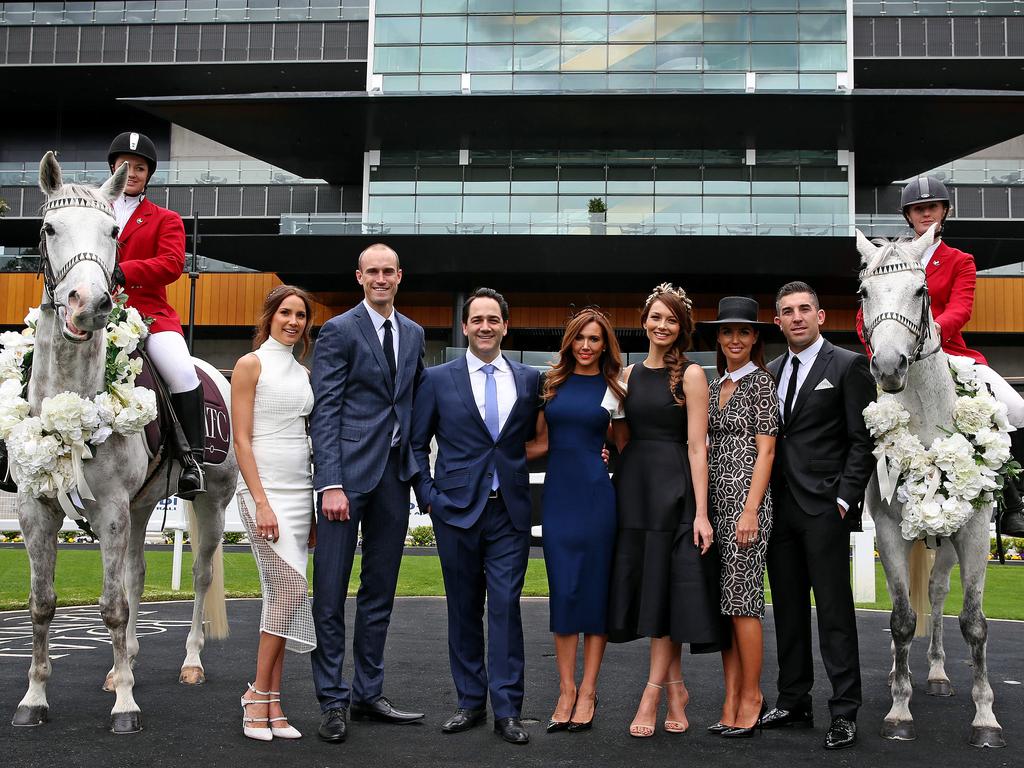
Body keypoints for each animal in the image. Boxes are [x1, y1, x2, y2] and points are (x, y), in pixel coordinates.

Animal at [12, 153, 238, 737]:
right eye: (49, 228)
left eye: (113, 232)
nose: (88, 306)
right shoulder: (35, 508)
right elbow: (41, 604)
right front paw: (34, 699)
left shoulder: (110, 507)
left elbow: (111, 606)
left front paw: (126, 709)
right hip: (138, 509)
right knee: (136, 576)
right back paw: (123, 667)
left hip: (209, 502)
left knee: (199, 575)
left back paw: (189, 663)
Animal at [856, 225, 999, 749]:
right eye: (865, 292)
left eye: (920, 291)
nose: (889, 366)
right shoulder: (888, 529)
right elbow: (901, 620)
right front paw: (900, 710)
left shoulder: (974, 532)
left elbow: (974, 622)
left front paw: (985, 718)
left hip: (953, 539)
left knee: (939, 594)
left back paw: (937, 674)